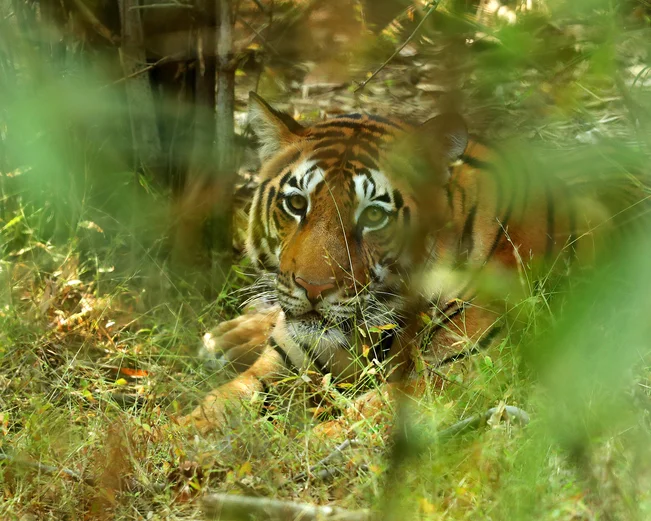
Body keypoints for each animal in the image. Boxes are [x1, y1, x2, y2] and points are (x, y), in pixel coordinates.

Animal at [180, 91, 647, 435]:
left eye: (373, 215)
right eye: (296, 204)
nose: (313, 289)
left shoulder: (453, 375)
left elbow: (349, 426)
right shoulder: (287, 361)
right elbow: (214, 408)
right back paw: (227, 338)